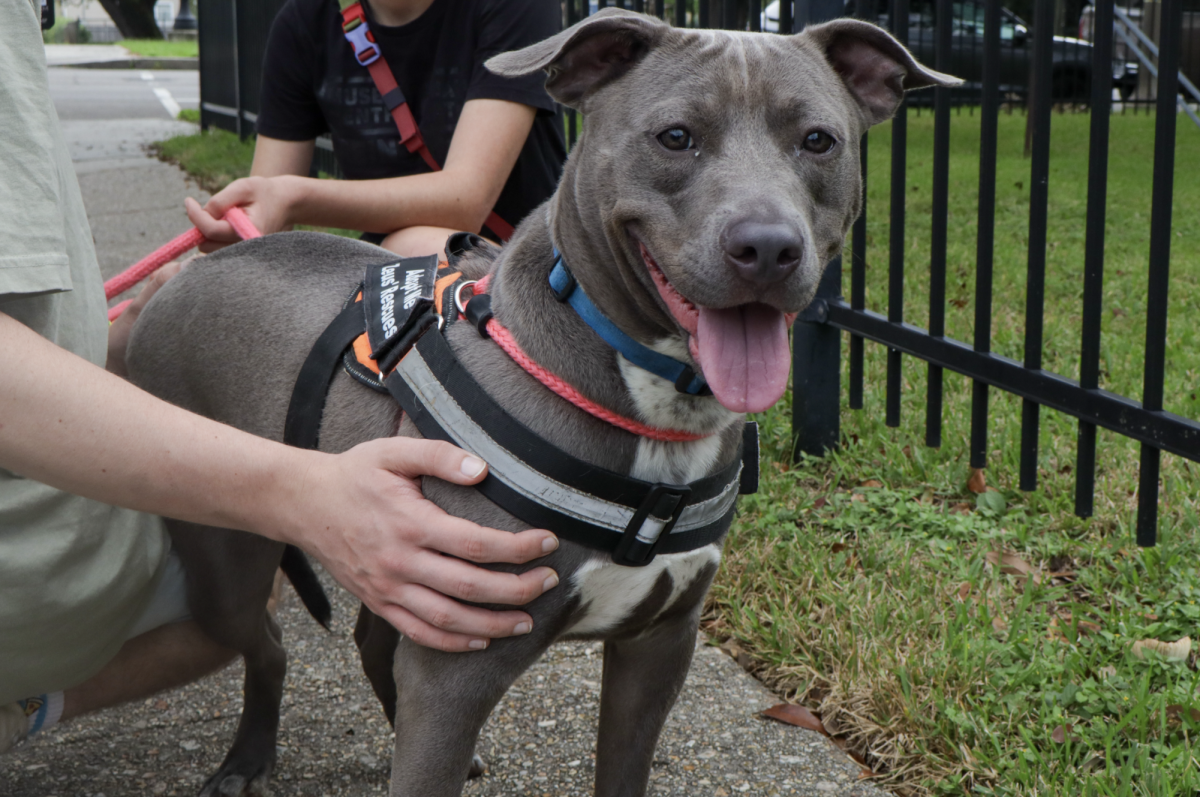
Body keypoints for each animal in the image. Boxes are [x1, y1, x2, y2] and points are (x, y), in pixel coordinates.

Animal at [126, 7, 960, 797]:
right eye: (676, 136)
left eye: (819, 140)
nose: (768, 247)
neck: (654, 402)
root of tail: (194, 267)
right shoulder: (458, 673)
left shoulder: (657, 647)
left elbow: (622, 768)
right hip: (225, 560)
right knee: (265, 642)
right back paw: (247, 759)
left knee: (368, 640)